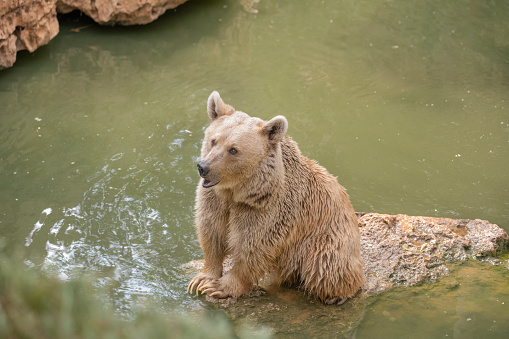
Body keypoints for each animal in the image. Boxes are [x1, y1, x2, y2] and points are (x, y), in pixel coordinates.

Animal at [189, 91, 364, 306]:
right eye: (213, 140)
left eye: (233, 149)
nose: (203, 167)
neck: (238, 191)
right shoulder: (215, 200)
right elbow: (211, 234)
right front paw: (202, 280)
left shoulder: (266, 210)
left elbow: (252, 248)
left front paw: (221, 287)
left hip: (328, 237)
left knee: (325, 266)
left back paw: (336, 296)